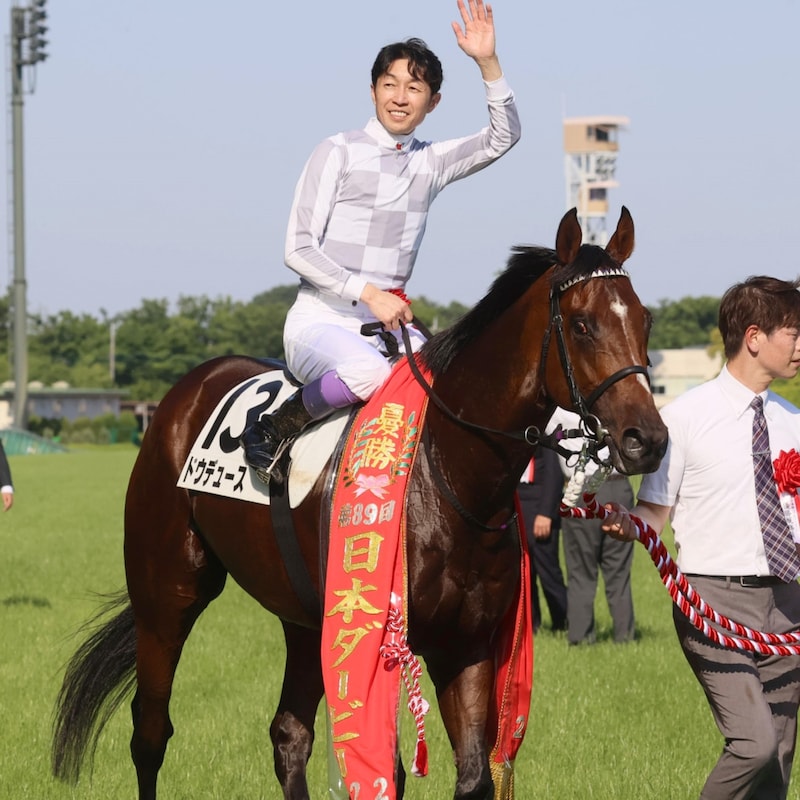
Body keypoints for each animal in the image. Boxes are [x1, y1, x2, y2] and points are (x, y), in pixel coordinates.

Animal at [51, 207, 668, 800]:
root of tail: (186, 390)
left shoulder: (466, 645)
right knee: (150, 730)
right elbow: (385, 772)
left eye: (645, 320)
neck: (447, 473)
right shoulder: (378, 648)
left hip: (303, 618)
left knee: (288, 734)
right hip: (167, 592)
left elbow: (473, 778)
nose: (648, 439)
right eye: (583, 324)